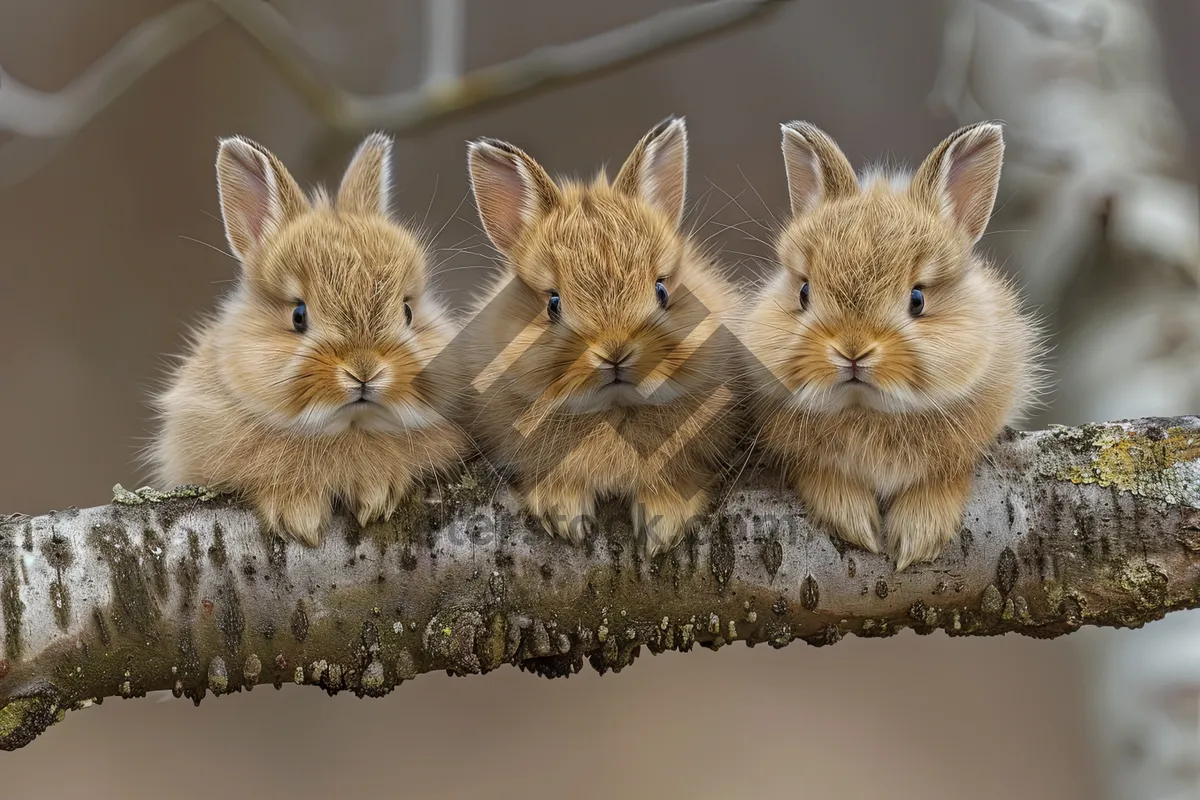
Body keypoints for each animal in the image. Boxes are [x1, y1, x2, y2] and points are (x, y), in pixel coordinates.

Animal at [147, 134, 465, 546]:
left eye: (408, 312)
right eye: (299, 315)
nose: (364, 371)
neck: (347, 429)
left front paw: (377, 496)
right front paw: (299, 517)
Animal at [463, 117, 744, 556]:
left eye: (662, 291)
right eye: (553, 304)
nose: (615, 352)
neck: (613, 407)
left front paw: (663, 529)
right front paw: (563, 516)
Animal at [744, 118, 1046, 573]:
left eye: (917, 299)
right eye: (804, 293)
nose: (852, 350)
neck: (868, 411)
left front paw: (917, 536)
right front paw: (855, 523)